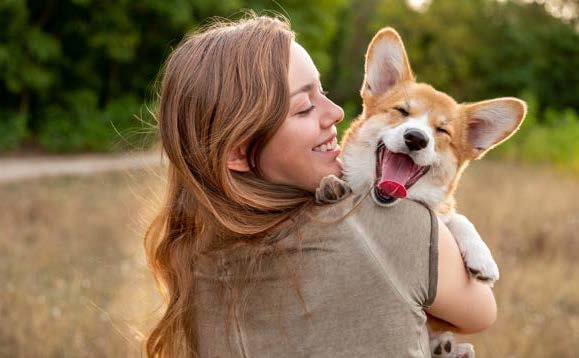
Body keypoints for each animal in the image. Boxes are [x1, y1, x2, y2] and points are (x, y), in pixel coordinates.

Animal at [314, 28, 528, 358]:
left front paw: (482, 258)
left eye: (442, 131)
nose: (416, 138)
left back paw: (448, 347)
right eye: (402, 111)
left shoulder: (441, 211)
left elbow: (458, 218)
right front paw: (331, 185)